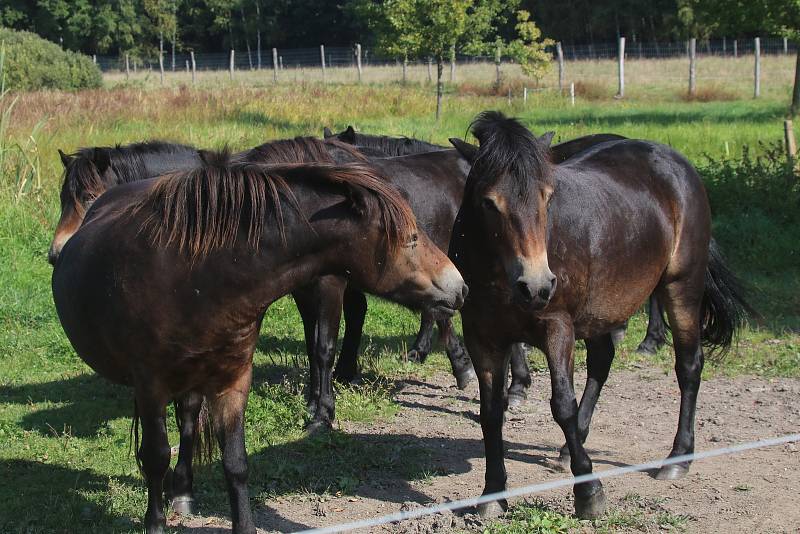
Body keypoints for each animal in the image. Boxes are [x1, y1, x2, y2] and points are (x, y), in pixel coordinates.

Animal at [53, 152, 466, 534]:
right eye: (411, 238)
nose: (460, 288)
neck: (193, 276)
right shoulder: (150, 385)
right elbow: (155, 457)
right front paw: (154, 524)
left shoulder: (233, 381)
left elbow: (236, 463)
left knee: (188, 419)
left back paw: (183, 490)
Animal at [450, 112, 752, 520]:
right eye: (488, 202)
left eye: (548, 197)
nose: (537, 285)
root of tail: (677, 163)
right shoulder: (482, 335)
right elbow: (491, 412)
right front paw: (493, 494)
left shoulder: (557, 327)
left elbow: (562, 405)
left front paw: (588, 492)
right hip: (601, 311)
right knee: (602, 363)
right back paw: (571, 448)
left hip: (681, 288)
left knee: (689, 366)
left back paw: (677, 458)